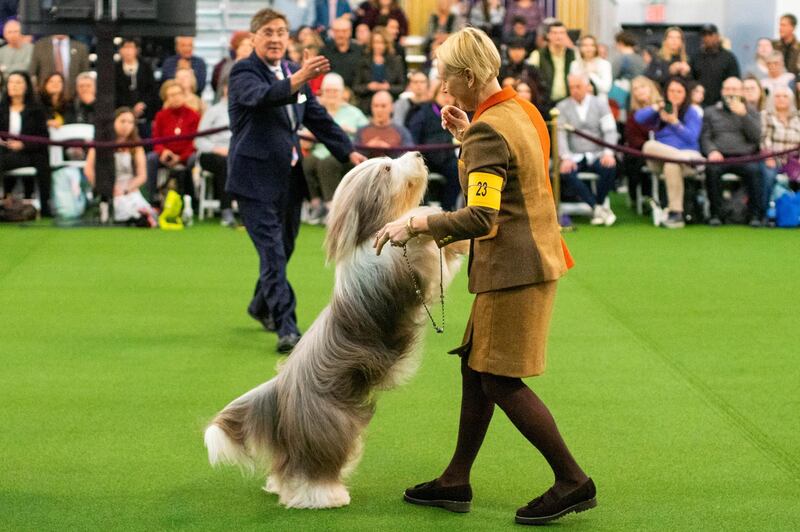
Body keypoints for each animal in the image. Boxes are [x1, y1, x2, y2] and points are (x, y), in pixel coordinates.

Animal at [205, 152, 468, 510]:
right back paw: (325, 496)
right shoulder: (405, 269)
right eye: (387, 168)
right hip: (329, 425)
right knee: (315, 466)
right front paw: (426, 218)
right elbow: (428, 254)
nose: (416, 154)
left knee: (286, 467)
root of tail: (281, 390)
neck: (366, 236)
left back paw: (282, 487)